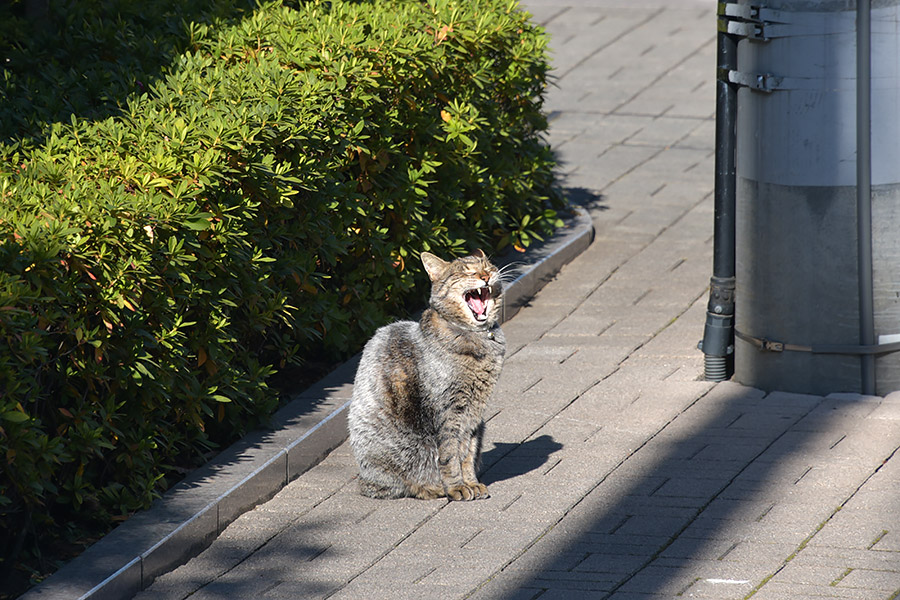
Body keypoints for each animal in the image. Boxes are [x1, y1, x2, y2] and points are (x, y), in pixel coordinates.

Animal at [348, 248, 506, 502]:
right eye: (466, 271)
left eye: (488, 267)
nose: (485, 276)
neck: (480, 340)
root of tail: (362, 479)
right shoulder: (449, 411)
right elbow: (450, 454)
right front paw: (457, 487)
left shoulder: (474, 416)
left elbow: (468, 453)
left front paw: (472, 483)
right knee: (396, 485)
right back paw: (431, 488)